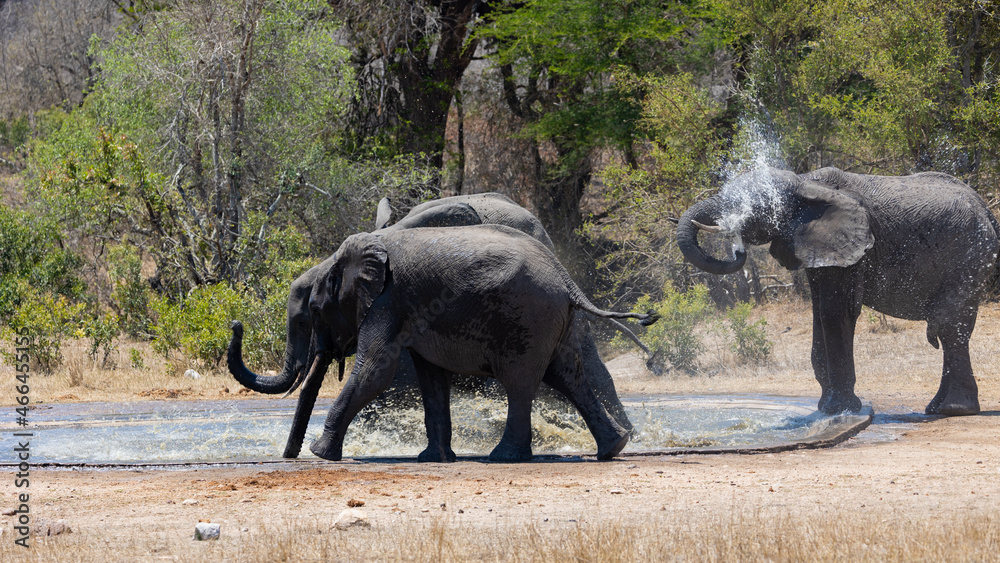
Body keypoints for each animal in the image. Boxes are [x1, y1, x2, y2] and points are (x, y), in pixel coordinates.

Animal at [304, 224, 658, 462]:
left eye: (314, 310)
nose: (296, 451)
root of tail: (566, 277)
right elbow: (431, 377)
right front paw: (434, 459)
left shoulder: (387, 300)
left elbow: (374, 371)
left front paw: (319, 452)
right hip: (556, 318)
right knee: (568, 377)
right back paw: (615, 447)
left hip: (527, 318)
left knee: (520, 383)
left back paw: (504, 456)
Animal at [676, 166, 1000, 416]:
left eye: (749, 206)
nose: (737, 246)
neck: (804, 182)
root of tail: (986, 208)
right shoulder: (816, 244)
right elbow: (819, 314)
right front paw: (825, 408)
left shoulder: (845, 246)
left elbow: (834, 313)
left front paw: (840, 410)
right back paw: (936, 408)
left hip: (969, 254)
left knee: (948, 325)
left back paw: (953, 410)